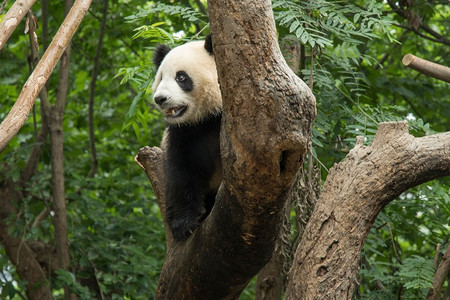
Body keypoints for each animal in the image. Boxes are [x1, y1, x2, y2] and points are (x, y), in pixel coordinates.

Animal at [152, 35, 222, 241]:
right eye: (161, 78)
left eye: (181, 77)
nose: (160, 99)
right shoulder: (183, 134)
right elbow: (183, 173)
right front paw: (183, 225)